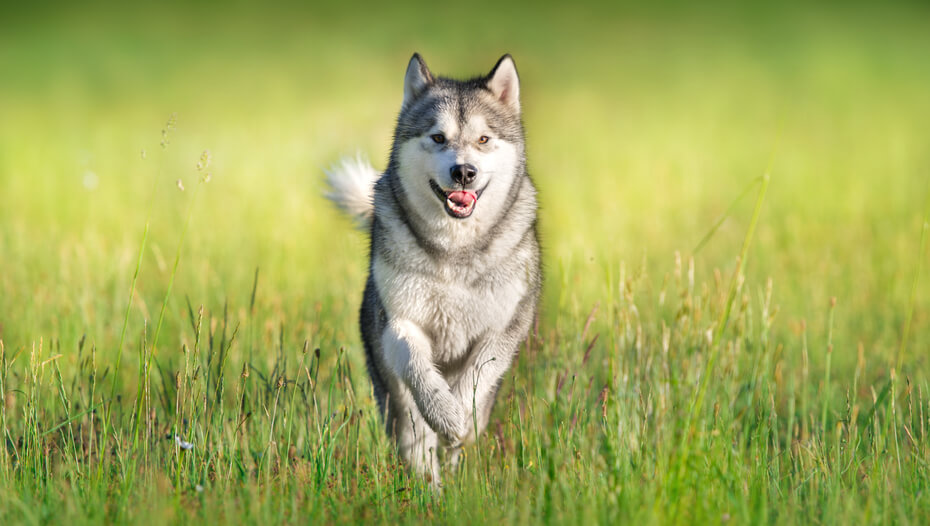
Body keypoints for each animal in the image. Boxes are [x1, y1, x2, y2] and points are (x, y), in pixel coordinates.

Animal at [326, 53, 540, 486]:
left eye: (483, 140)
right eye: (438, 138)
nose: (464, 172)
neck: (454, 247)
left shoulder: (505, 325)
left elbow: (477, 375)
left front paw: (459, 415)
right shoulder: (399, 321)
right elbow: (416, 364)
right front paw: (444, 412)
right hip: (392, 393)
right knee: (416, 439)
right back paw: (431, 490)